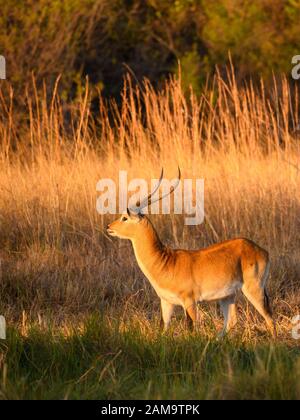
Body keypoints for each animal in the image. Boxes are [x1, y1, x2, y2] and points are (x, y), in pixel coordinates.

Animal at [106, 169, 276, 336]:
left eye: (125, 217)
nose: (108, 227)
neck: (166, 262)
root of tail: (260, 250)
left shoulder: (189, 301)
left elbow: (191, 330)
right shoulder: (166, 302)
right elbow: (162, 330)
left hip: (253, 288)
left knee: (269, 318)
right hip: (227, 296)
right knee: (232, 321)